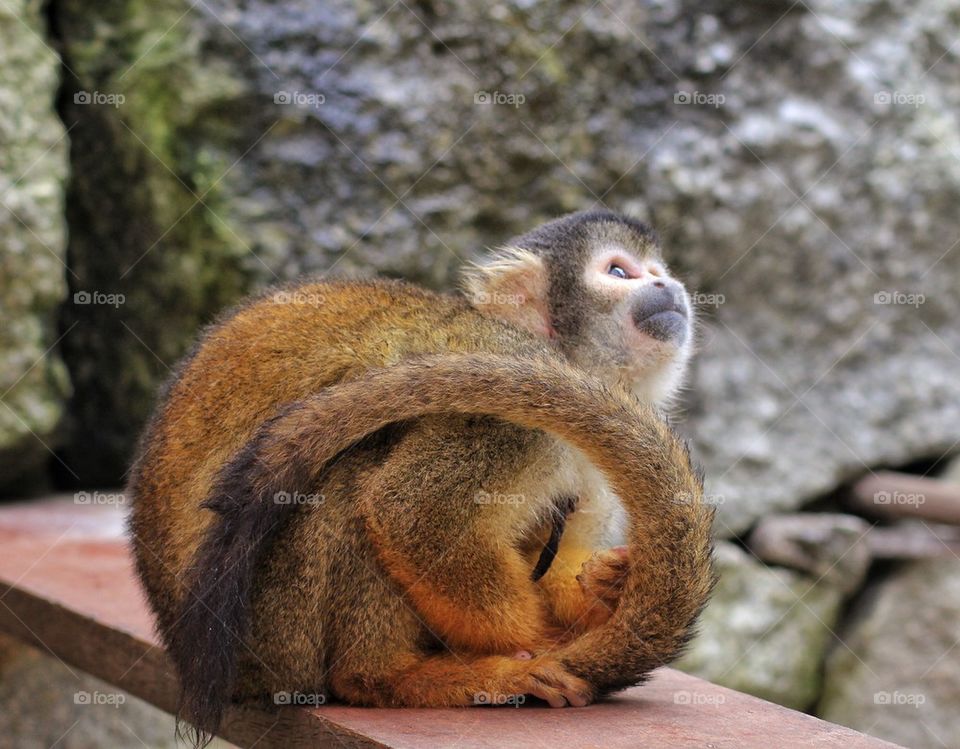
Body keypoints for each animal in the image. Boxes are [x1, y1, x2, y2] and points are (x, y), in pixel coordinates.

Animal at [126, 209, 715, 746]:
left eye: (655, 270)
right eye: (619, 272)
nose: (666, 286)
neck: (567, 357)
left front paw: (606, 587)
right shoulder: (505, 408)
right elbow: (411, 512)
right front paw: (535, 644)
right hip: (274, 637)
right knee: (356, 474)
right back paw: (385, 675)